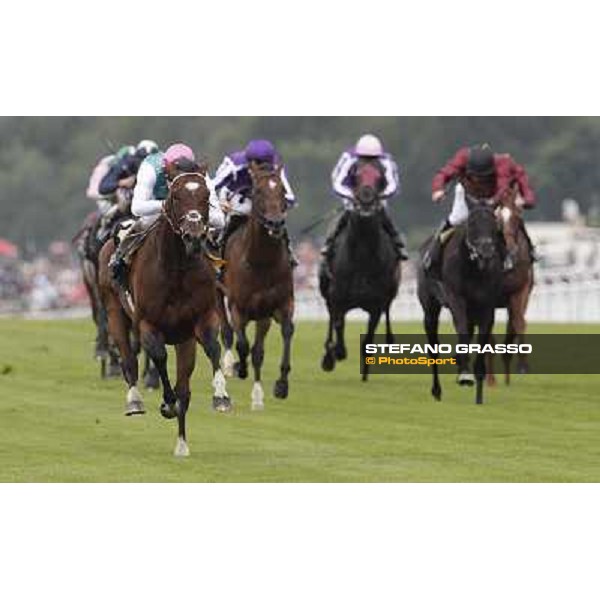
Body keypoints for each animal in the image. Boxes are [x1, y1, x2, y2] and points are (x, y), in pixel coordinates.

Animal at [220, 162, 296, 410]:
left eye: (282, 191)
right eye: (259, 192)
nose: (275, 223)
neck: (261, 261)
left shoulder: (277, 306)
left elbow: (284, 333)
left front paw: (281, 384)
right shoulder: (238, 306)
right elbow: (243, 344)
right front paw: (240, 368)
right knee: (227, 331)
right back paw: (229, 363)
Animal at [418, 200, 506, 404]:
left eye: (494, 224)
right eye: (472, 224)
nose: (486, 251)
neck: (475, 269)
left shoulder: (487, 305)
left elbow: (482, 339)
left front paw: (478, 386)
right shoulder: (456, 298)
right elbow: (463, 330)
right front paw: (465, 374)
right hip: (430, 308)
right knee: (433, 347)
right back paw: (437, 390)